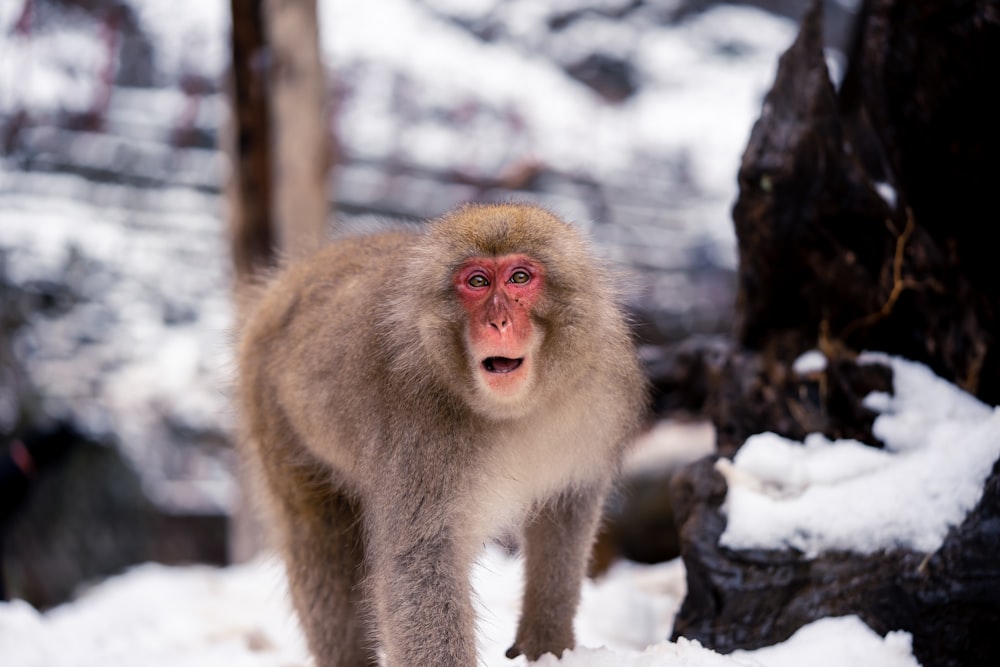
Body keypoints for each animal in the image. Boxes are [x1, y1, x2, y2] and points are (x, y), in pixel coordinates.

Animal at [235, 201, 648, 664]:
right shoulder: (420, 429)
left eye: (520, 278)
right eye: (477, 282)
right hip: (273, 413)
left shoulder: (599, 400)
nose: (499, 321)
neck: (514, 412)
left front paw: (548, 644)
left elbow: (568, 513)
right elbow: (421, 559)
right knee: (317, 540)